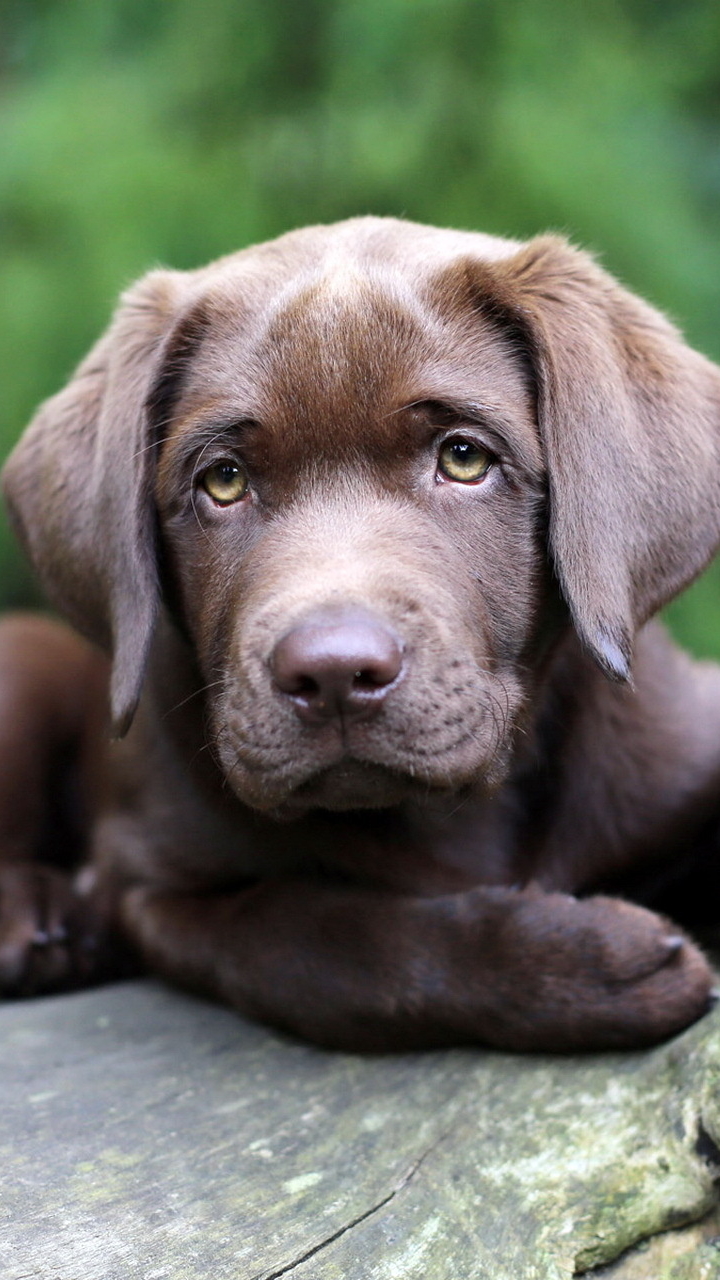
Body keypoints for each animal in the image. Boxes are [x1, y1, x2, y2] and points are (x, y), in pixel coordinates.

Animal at [1, 217, 717, 1049]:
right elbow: (323, 941)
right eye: (223, 480)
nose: (334, 674)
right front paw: (586, 966)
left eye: (464, 458)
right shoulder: (152, 885)